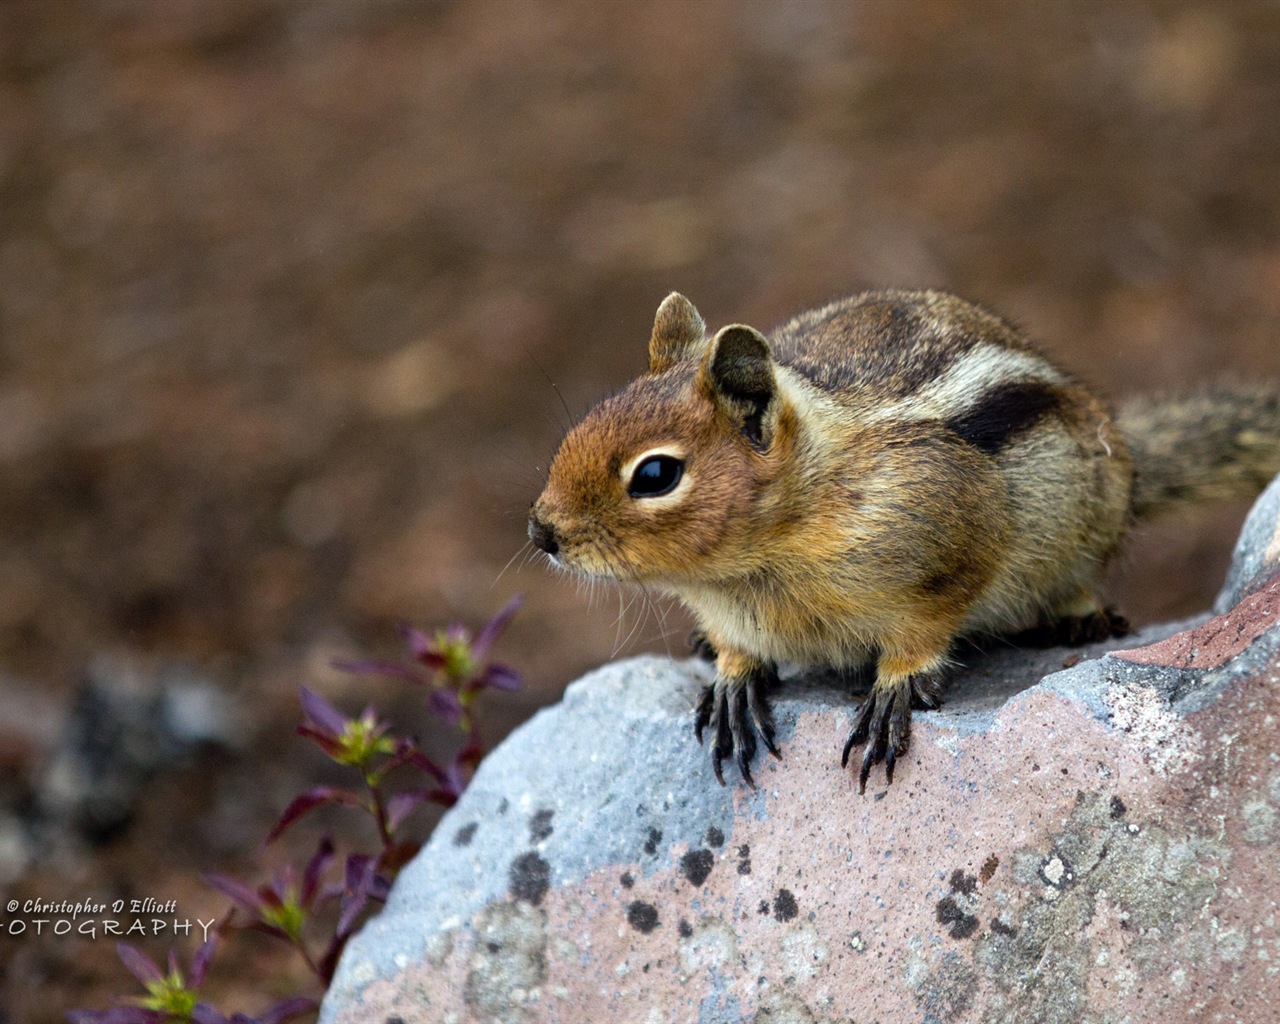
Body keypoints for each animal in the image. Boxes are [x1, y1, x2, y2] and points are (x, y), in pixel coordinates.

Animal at [527, 288, 1280, 793]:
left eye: (655, 474)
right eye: (586, 422)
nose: (540, 531)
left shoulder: (951, 542)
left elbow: (928, 625)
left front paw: (894, 687)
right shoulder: (726, 609)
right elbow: (737, 649)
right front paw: (734, 678)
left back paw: (1077, 617)